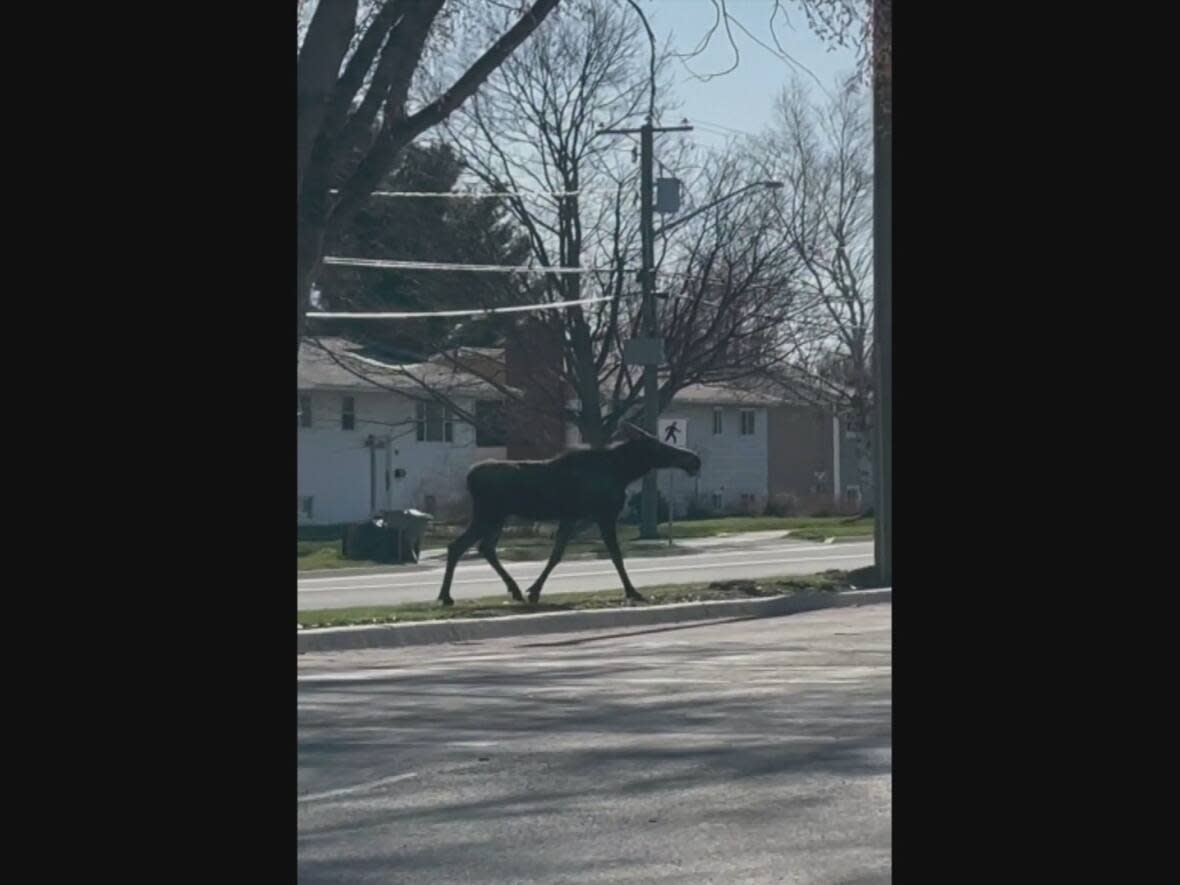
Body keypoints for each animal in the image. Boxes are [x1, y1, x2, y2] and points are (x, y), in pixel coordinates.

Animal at [441, 424, 698, 608]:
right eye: (656, 445)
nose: (693, 459)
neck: (623, 471)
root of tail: (469, 476)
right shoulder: (604, 515)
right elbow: (616, 555)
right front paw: (632, 591)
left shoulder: (572, 517)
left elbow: (556, 555)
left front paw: (534, 590)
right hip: (489, 516)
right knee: (458, 546)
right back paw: (446, 596)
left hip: (497, 517)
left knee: (484, 548)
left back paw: (513, 590)